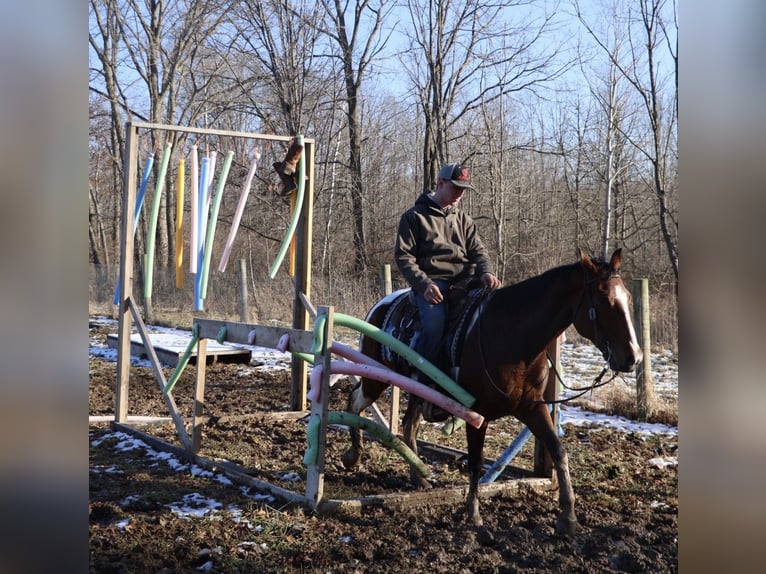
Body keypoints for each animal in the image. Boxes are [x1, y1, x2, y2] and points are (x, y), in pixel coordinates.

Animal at [340, 248, 642, 534]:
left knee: (408, 423)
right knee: (355, 401)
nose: (633, 357)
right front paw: (473, 514)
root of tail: (381, 305)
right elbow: (475, 461)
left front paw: (568, 517)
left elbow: (558, 450)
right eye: (603, 300)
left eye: (628, 298)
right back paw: (353, 456)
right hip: (377, 379)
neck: (513, 335)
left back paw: (419, 477)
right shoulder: (478, 414)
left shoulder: (533, 407)